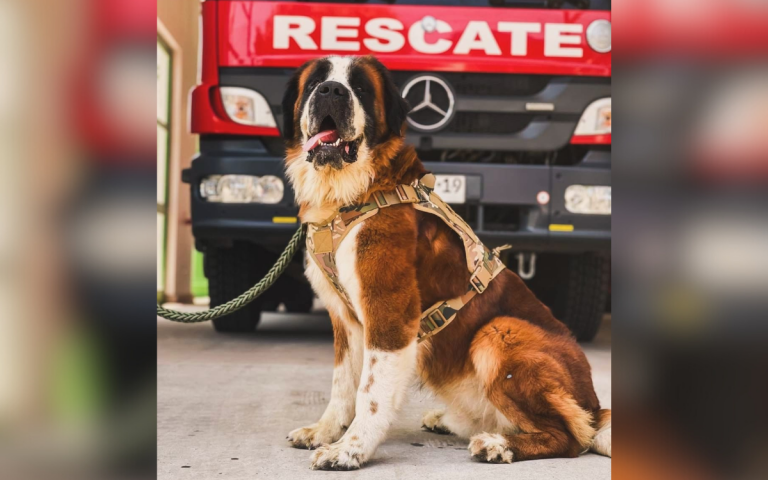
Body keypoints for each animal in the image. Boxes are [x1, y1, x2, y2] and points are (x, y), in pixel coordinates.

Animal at [282, 55, 612, 468]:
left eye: (359, 87)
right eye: (315, 84)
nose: (331, 91)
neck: (351, 194)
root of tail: (595, 404)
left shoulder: (389, 313)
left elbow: (370, 392)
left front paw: (350, 449)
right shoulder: (345, 318)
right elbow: (343, 383)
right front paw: (325, 431)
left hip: (498, 331)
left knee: (569, 436)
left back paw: (498, 444)